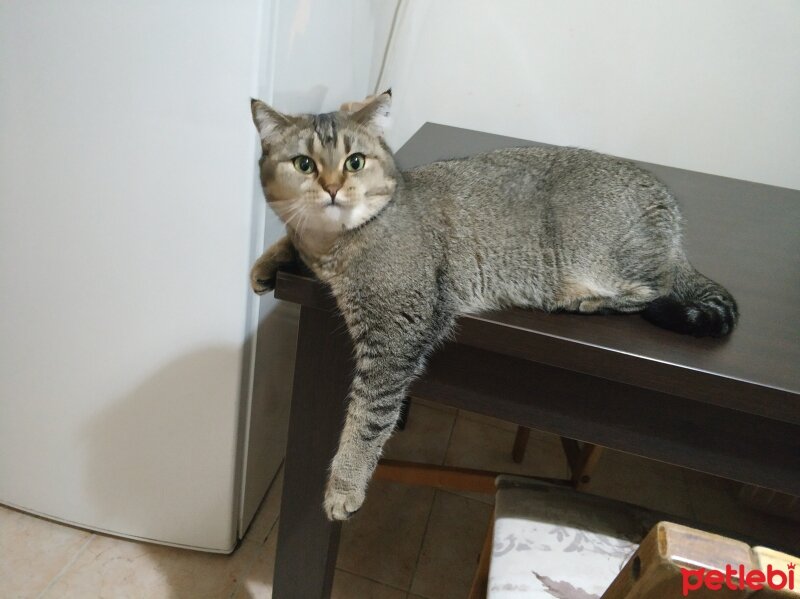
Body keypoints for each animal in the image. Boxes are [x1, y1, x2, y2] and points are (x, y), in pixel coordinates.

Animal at [248, 90, 736, 520]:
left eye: (355, 162)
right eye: (304, 164)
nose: (332, 188)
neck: (331, 245)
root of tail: (673, 229)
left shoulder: (397, 335)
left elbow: (368, 416)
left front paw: (344, 485)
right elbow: (289, 237)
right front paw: (267, 264)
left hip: (597, 254)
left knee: (655, 290)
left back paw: (584, 300)